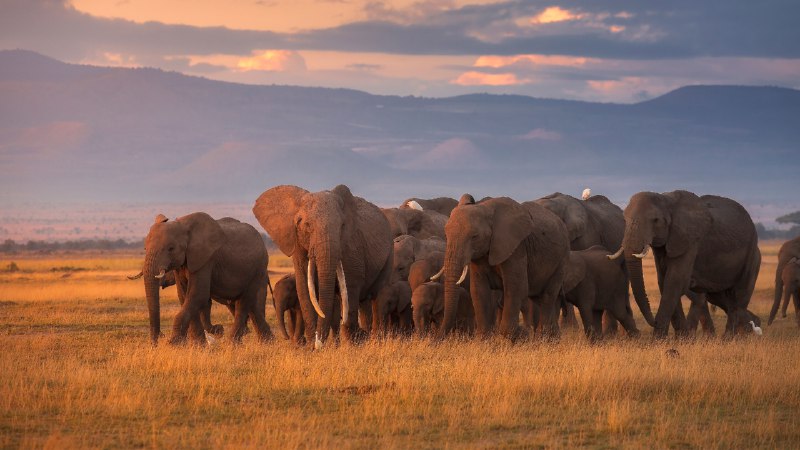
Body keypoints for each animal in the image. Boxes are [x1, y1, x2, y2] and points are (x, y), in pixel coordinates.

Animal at [141, 213, 273, 345]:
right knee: (252, 306)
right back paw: (267, 342)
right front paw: (198, 345)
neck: (183, 226)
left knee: (244, 302)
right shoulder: (181, 264)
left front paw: (174, 344)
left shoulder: (206, 260)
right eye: (145, 248)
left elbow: (197, 294)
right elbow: (184, 295)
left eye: (171, 248)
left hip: (258, 269)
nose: (158, 338)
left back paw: (233, 343)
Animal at [252, 184, 393, 347]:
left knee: (377, 295)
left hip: (389, 252)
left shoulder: (352, 246)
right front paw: (311, 346)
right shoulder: (297, 244)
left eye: (341, 226)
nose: (318, 342)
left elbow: (350, 286)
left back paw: (374, 340)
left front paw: (350, 346)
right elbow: (305, 287)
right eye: (307, 225)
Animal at [438, 195, 569, 340]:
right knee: (538, 298)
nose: (438, 338)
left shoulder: (516, 248)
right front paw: (483, 340)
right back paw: (552, 338)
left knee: (548, 296)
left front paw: (508, 338)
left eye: (475, 236)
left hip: (562, 259)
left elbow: (515, 288)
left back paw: (543, 338)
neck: (485, 208)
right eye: (446, 235)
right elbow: (478, 290)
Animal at [609, 190, 761, 338]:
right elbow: (664, 280)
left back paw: (731, 338)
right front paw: (681, 338)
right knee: (721, 298)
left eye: (656, 220)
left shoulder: (690, 240)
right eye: (624, 219)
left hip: (751, 256)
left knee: (739, 295)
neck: (666, 200)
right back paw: (748, 327)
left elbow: (674, 280)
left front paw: (658, 339)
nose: (653, 321)